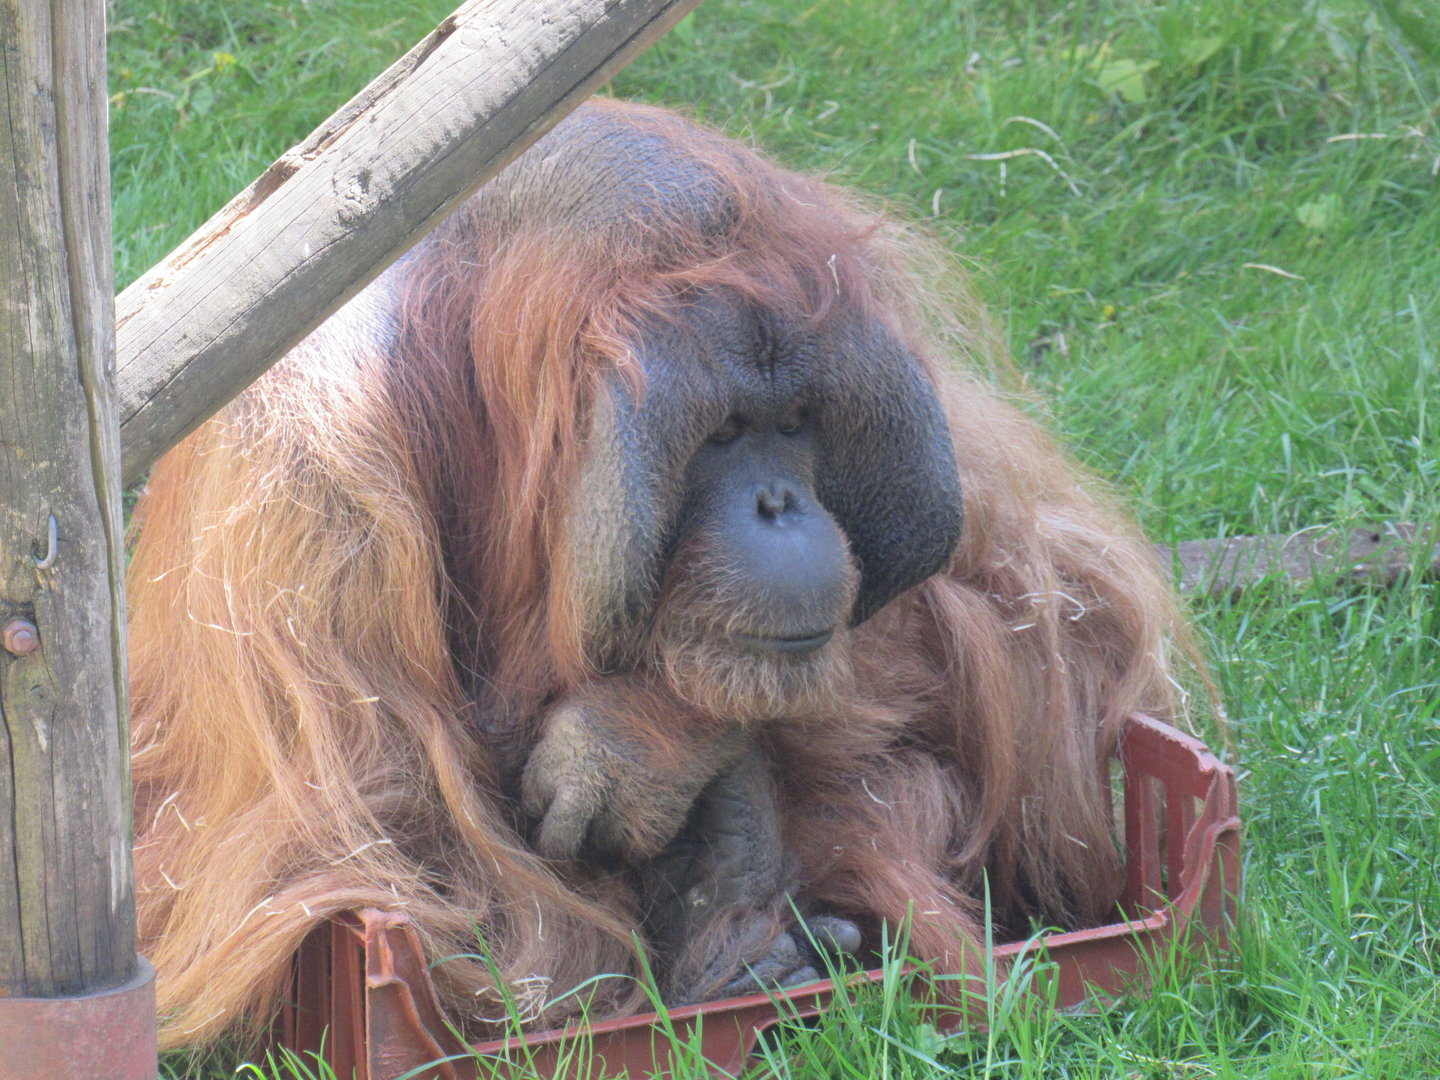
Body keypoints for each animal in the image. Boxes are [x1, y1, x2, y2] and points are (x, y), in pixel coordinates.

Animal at [126, 98, 1194, 1050]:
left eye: (797, 423)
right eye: (722, 433)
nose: (781, 506)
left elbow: (1032, 603)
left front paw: (646, 740)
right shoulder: (310, 476)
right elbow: (371, 821)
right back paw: (738, 948)